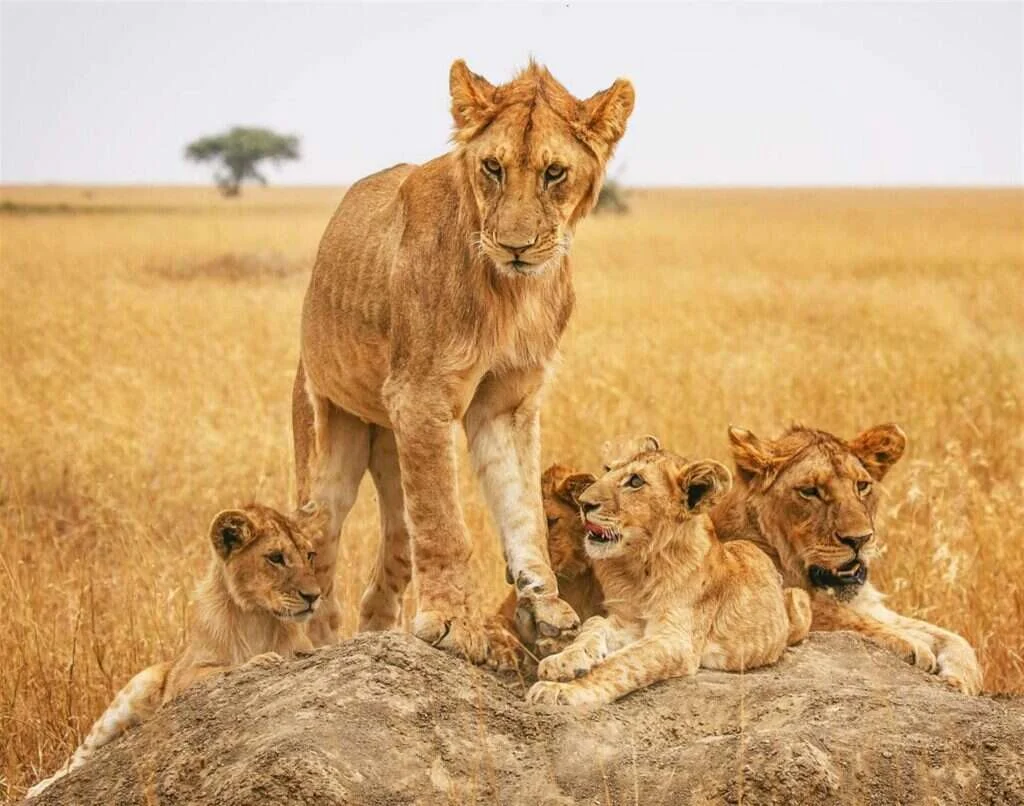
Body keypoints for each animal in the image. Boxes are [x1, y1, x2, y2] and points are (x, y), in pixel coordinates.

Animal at [27, 504, 322, 798]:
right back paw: (39, 787)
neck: (258, 617)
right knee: (82, 752)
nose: (314, 596)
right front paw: (262, 659)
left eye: (309, 555)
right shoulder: (184, 676)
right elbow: (226, 667)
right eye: (276, 558)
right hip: (133, 691)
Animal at [527, 439, 811, 707]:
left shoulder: (675, 640)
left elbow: (620, 664)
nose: (584, 503)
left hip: (799, 599)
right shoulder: (625, 620)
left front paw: (562, 690)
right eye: (608, 470)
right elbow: (592, 627)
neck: (639, 568)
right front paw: (562, 661)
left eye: (635, 481)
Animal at [713, 423, 983, 695]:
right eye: (809, 491)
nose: (859, 539)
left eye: (862, 486)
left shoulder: (869, 605)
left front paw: (961, 680)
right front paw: (915, 646)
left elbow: (954, 638)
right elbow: (842, 618)